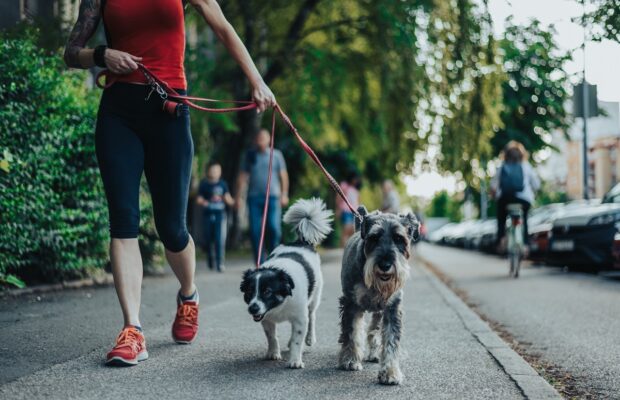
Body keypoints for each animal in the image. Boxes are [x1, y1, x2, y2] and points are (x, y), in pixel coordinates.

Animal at [240, 197, 334, 368]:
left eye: (267, 292)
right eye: (249, 292)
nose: (252, 308)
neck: (280, 304)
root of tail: (301, 241)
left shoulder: (300, 318)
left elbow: (298, 339)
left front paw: (295, 360)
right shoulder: (266, 319)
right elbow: (272, 337)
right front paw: (273, 353)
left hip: (314, 299)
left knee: (312, 317)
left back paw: (309, 338)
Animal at [336, 206, 418, 384]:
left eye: (399, 238)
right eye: (374, 238)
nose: (385, 265)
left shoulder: (392, 308)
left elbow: (390, 340)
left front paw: (390, 372)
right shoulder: (350, 303)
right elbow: (351, 332)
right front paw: (350, 360)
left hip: (379, 312)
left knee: (373, 330)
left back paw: (374, 353)